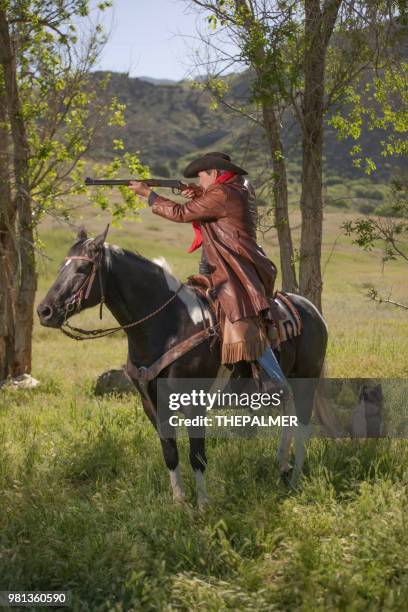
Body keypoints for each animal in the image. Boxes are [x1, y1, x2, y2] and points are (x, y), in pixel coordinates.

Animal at [38, 227, 328, 504]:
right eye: (61, 266)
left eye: (83, 269)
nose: (44, 311)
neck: (169, 325)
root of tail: (310, 308)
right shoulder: (152, 405)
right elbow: (170, 452)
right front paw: (179, 502)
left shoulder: (193, 403)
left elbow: (197, 455)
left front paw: (203, 504)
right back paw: (282, 466)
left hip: (307, 381)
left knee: (302, 426)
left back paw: (295, 478)